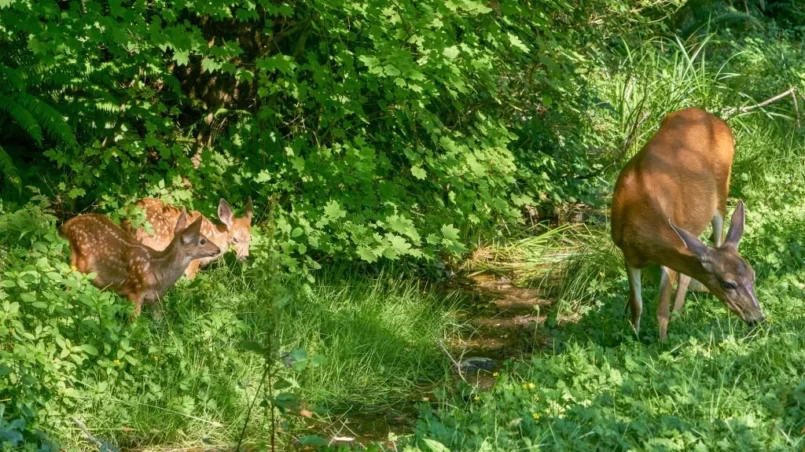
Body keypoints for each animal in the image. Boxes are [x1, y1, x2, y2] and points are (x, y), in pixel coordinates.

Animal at [61, 210, 221, 316]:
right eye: (202, 241)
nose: (218, 249)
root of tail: (67, 225)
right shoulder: (135, 292)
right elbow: (135, 324)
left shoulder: (155, 298)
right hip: (80, 261)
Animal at [612, 107, 764, 340]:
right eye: (728, 283)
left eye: (753, 276)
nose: (757, 317)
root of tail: (713, 117)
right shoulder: (627, 253)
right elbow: (637, 305)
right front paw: (634, 336)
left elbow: (661, 309)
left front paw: (662, 342)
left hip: (721, 193)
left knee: (717, 237)